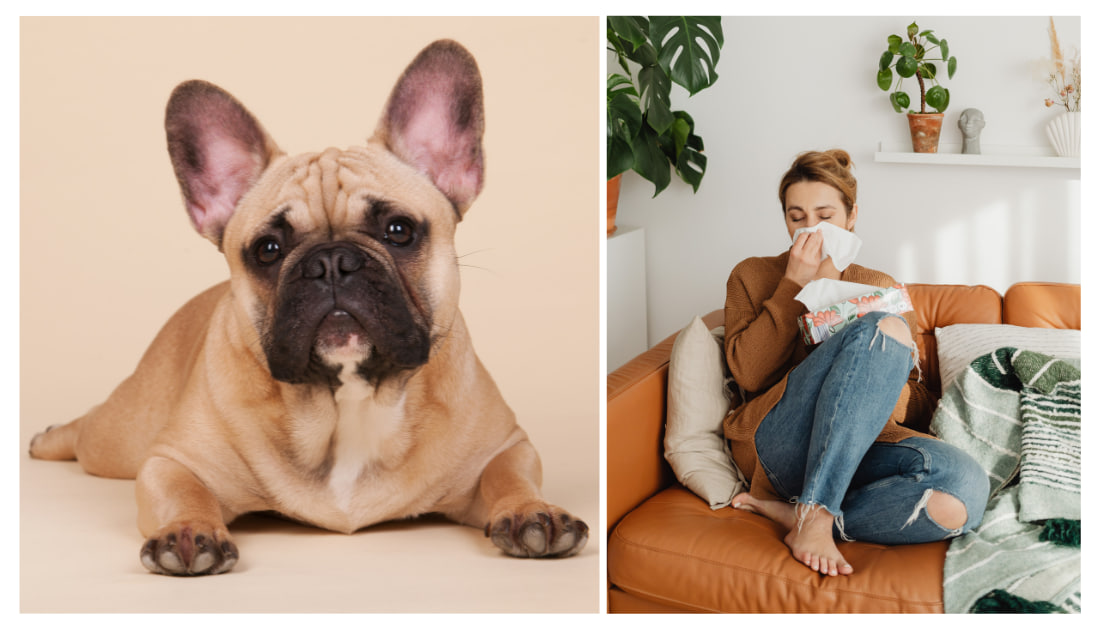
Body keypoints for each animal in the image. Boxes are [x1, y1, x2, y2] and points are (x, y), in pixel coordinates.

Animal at [30, 39, 589, 576]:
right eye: (268, 250)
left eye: (399, 230)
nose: (331, 263)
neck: (349, 399)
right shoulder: (169, 461)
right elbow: (184, 491)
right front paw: (189, 530)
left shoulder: (506, 447)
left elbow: (508, 477)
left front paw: (532, 511)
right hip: (121, 436)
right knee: (90, 429)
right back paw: (47, 438)